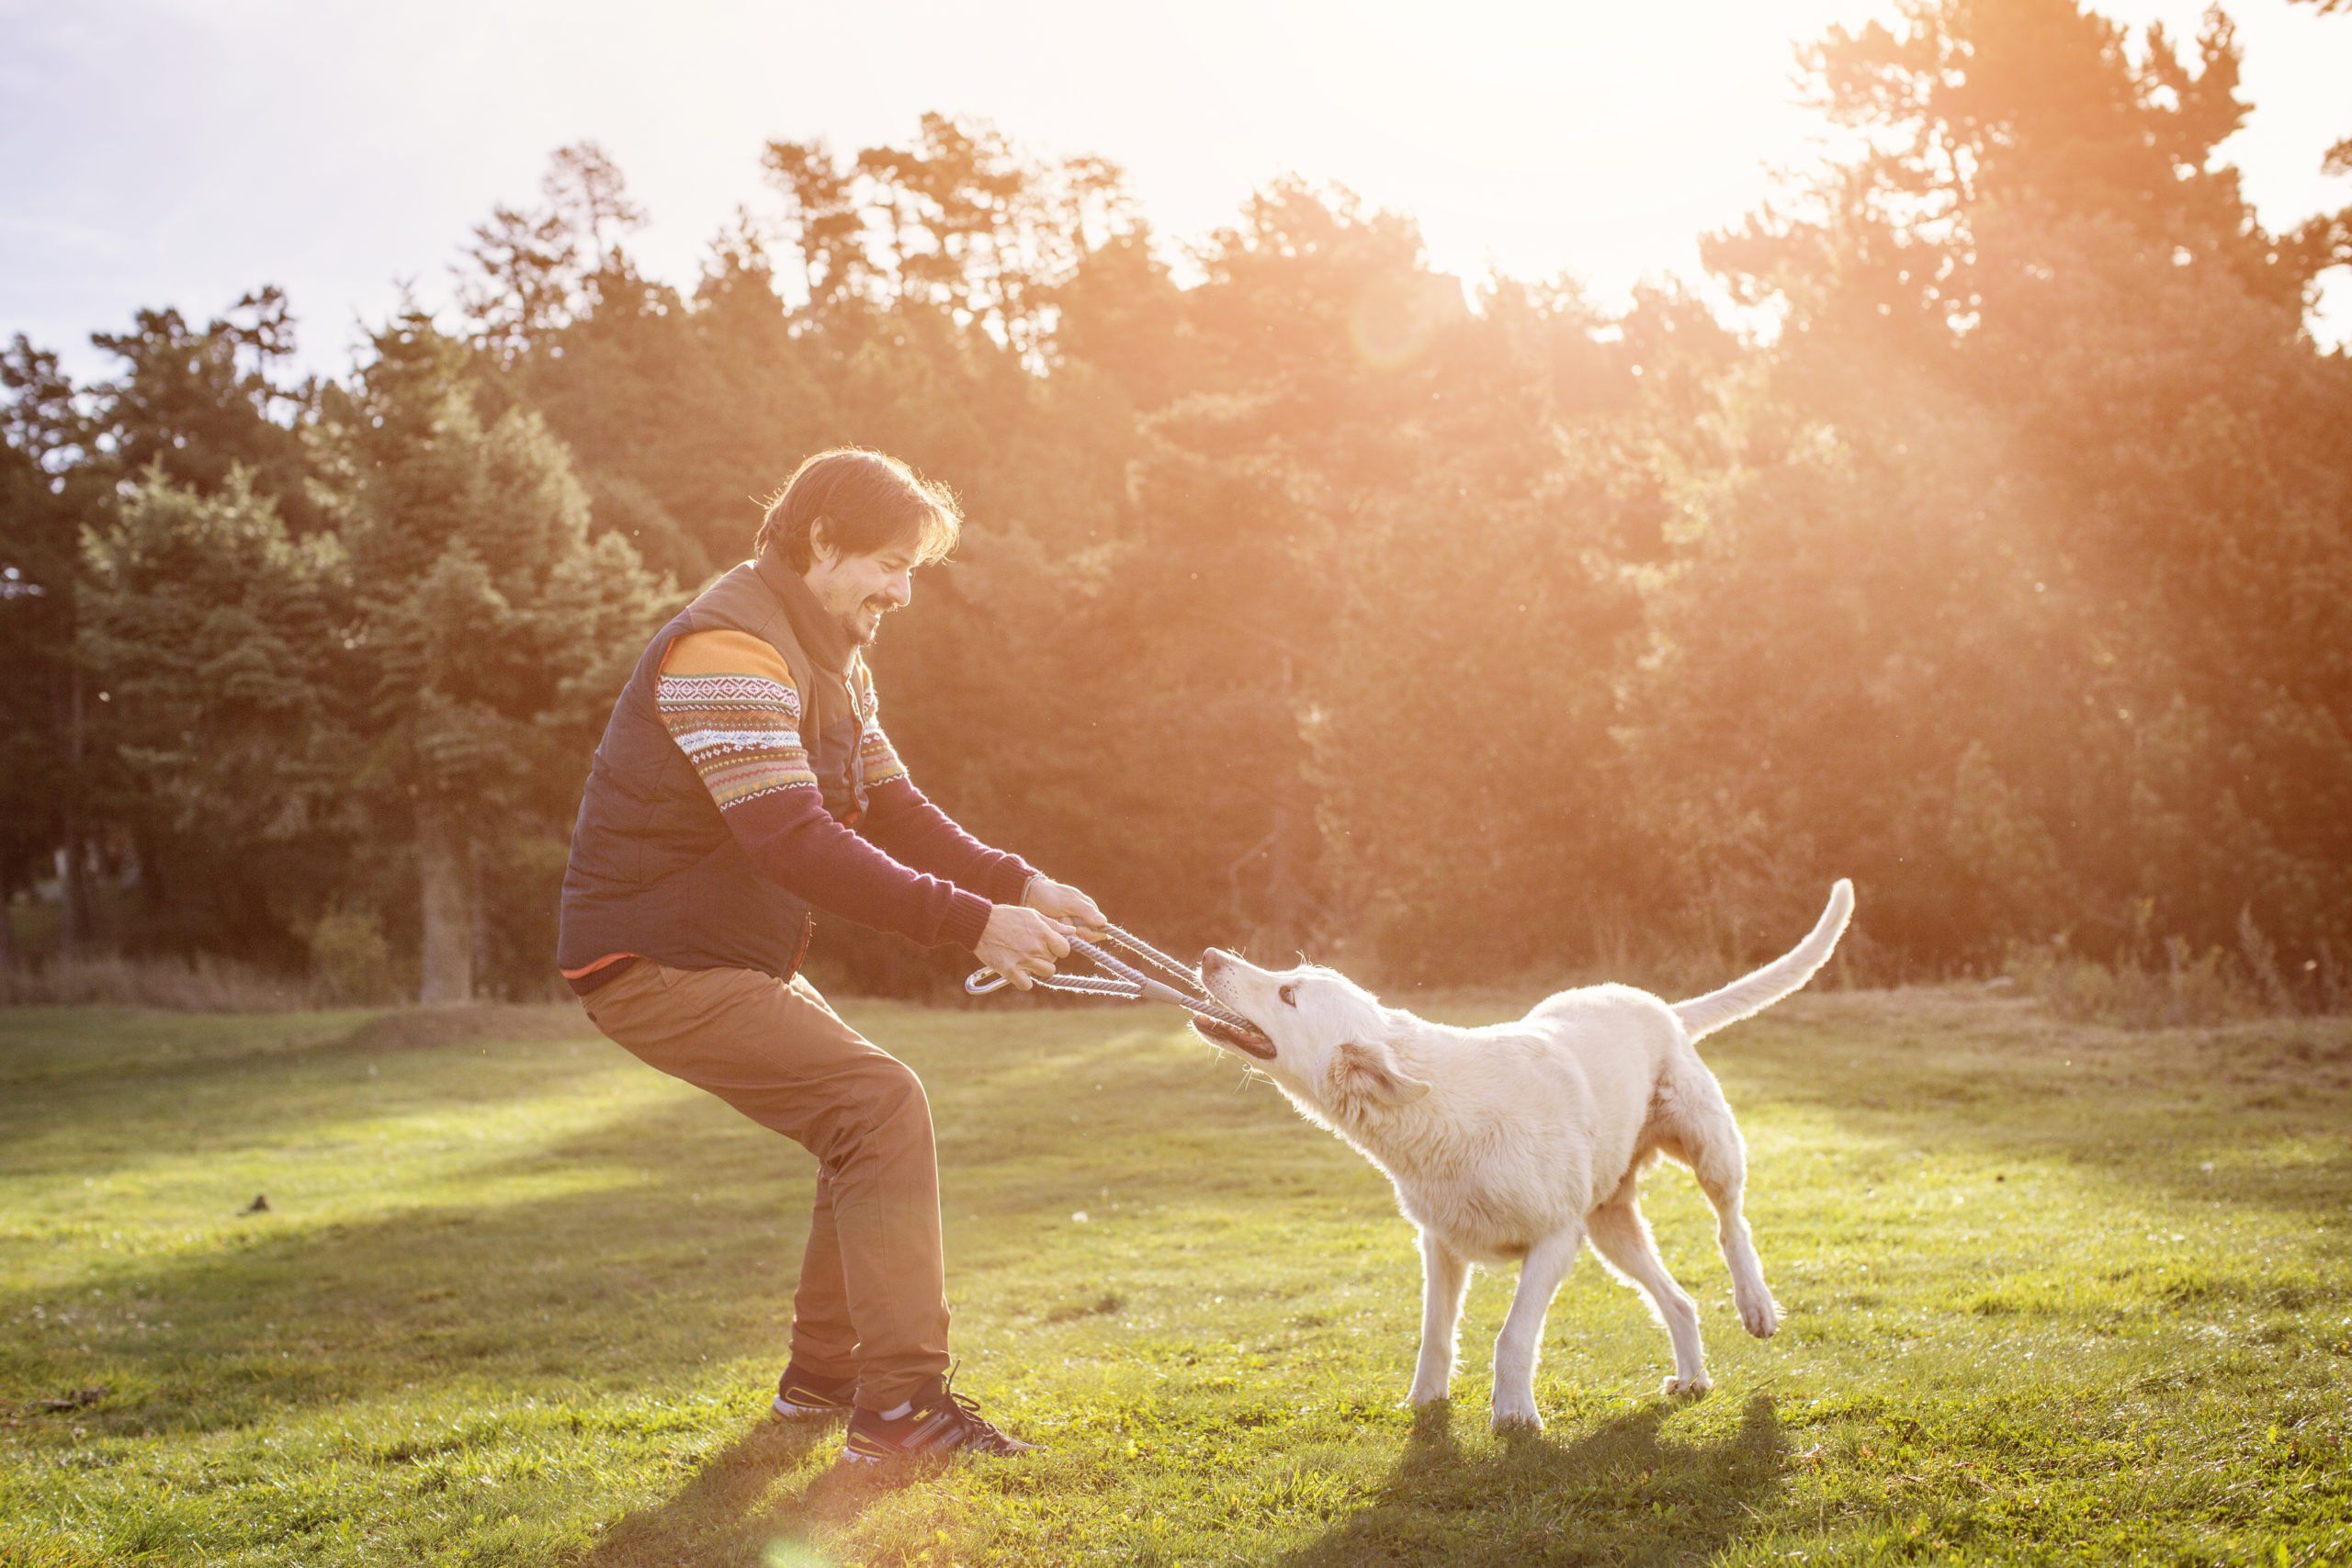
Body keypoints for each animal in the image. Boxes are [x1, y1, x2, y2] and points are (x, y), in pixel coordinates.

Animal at [1194, 884, 1853, 1438]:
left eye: (1289, 993)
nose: (1207, 955)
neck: (1438, 1110)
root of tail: (1659, 1004)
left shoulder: (1554, 1241)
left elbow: (1512, 1336)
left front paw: (1513, 1416)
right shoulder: (1441, 1245)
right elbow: (1435, 1334)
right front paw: (1424, 1403)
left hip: (1708, 1146)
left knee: (1731, 1223)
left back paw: (1756, 1305)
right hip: (1611, 1228)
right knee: (1679, 1300)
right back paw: (1692, 1377)